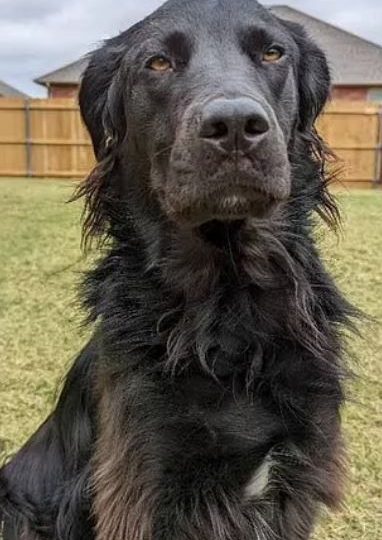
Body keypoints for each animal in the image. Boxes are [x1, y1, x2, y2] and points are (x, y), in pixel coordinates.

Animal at [0, 0, 356, 536]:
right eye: (158, 63)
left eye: (273, 53)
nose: (235, 126)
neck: (227, 306)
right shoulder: (146, 489)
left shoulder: (298, 477)